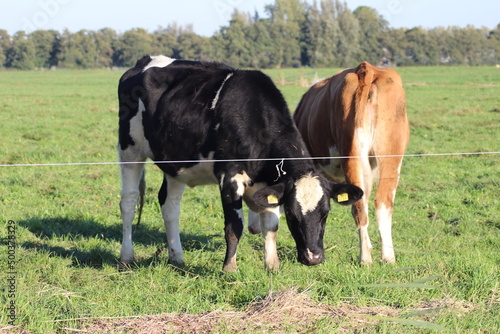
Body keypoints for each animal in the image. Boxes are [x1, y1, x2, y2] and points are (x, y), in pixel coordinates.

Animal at [118, 54, 364, 272]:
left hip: (176, 163)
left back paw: (176, 257)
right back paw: (126, 257)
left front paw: (272, 265)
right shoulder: (229, 176)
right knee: (128, 203)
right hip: (129, 150)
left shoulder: (271, 184)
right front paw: (230, 268)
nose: (313, 257)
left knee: (170, 206)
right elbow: (234, 226)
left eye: (325, 213)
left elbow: (271, 226)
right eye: (292, 214)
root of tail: (144, 61)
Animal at [294, 62, 408, 266]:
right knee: (382, 203)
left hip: (351, 155)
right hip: (392, 155)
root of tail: (365, 69)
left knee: (359, 209)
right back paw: (388, 257)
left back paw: (365, 259)